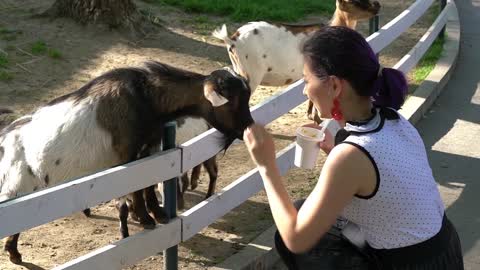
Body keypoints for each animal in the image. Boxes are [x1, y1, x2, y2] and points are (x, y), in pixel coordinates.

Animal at [0, 61, 253, 264]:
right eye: (232, 101)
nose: (247, 128)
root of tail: (5, 137)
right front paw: (145, 218)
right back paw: (13, 253)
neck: (146, 99)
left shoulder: (150, 148)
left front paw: (158, 214)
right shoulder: (128, 155)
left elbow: (149, 184)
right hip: (17, 187)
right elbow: (137, 189)